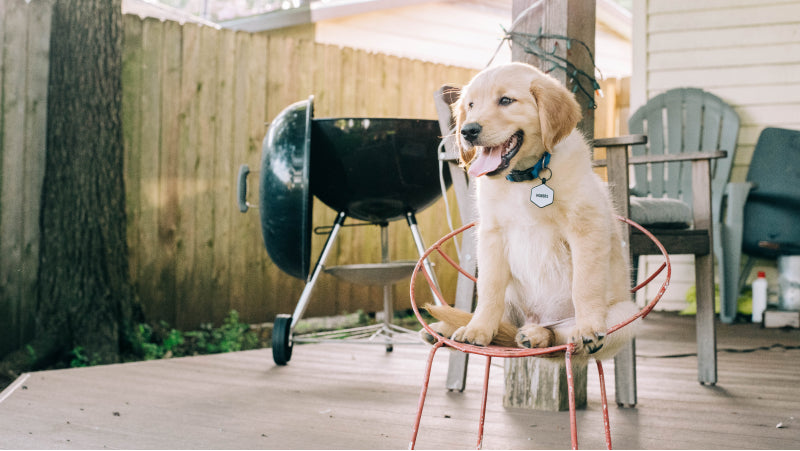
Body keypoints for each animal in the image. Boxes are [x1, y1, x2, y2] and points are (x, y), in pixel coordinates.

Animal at [428, 62, 640, 360]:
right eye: (470, 105)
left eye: (506, 100)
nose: (467, 131)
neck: (524, 177)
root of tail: (537, 320)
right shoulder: (492, 234)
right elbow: (489, 289)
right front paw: (478, 329)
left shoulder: (586, 227)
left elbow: (585, 285)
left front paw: (587, 326)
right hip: (511, 299)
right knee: (507, 324)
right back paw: (452, 327)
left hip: (627, 315)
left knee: (558, 340)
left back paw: (539, 336)